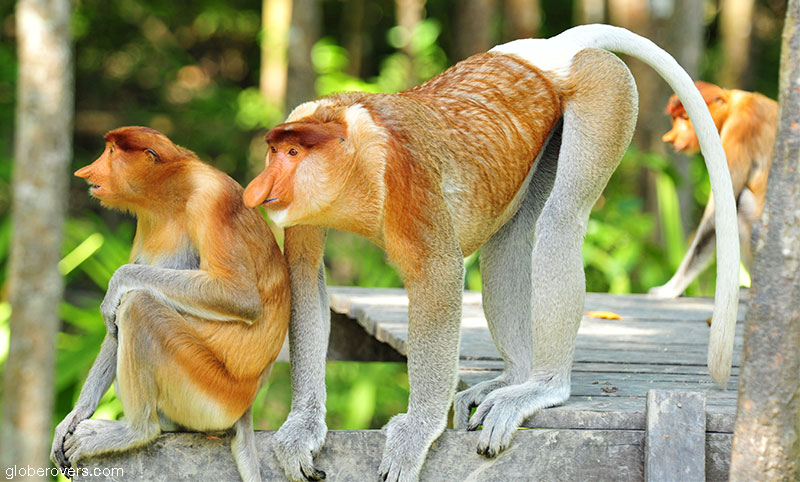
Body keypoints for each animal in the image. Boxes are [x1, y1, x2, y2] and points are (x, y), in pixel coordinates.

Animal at [50, 127, 290, 482]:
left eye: (111, 152)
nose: (86, 172)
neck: (171, 191)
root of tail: (245, 405)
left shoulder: (210, 199)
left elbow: (240, 297)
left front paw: (117, 282)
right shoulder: (145, 221)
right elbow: (113, 327)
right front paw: (73, 418)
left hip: (208, 394)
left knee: (139, 306)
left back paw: (138, 431)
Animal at [243, 24, 740, 482]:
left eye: (292, 152)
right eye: (273, 151)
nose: (258, 188)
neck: (353, 148)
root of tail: (548, 50)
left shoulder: (408, 173)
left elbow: (438, 278)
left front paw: (415, 432)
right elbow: (305, 276)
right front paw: (302, 430)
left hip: (604, 88)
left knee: (559, 223)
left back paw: (541, 387)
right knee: (510, 242)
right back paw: (513, 377)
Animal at [649, 81, 778, 299]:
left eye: (685, 118)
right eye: (675, 118)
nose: (670, 137)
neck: (734, 103)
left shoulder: (738, 130)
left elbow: (718, 216)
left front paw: (669, 289)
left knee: (740, 207)